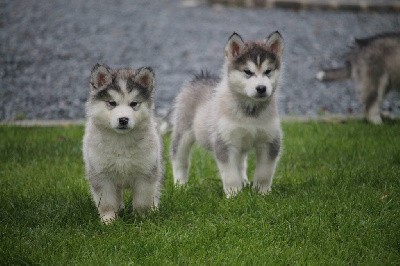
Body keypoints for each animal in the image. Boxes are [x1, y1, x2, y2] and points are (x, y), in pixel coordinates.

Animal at [83, 63, 162, 223]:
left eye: (134, 103)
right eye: (112, 103)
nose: (123, 119)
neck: (121, 141)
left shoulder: (145, 173)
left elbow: (142, 201)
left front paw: (141, 218)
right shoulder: (102, 175)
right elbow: (107, 202)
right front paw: (108, 220)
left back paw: (154, 208)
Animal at [171, 31, 284, 197]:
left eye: (268, 71)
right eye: (248, 72)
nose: (261, 88)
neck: (250, 112)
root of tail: (202, 77)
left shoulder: (270, 141)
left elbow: (264, 173)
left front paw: (261, 193)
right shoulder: (225, 142)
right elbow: (230, 174)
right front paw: (234, 195)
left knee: (241, 163)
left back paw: (244, 181)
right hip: (183, 132)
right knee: (179, 159)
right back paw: (180, 185)